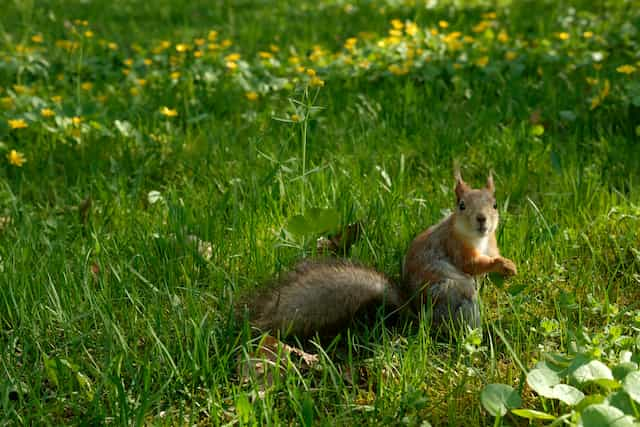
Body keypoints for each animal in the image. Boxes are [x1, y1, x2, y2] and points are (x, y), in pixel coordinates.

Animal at [242, 172, 516, 340]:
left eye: (495, 205)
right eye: (461, 205)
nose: (482, 220)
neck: (478, 238)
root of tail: (419, 319)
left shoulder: (491, 242)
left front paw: (508, 266)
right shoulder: (453, 245)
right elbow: (470, 264)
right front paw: (500, 264)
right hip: (456, 296)